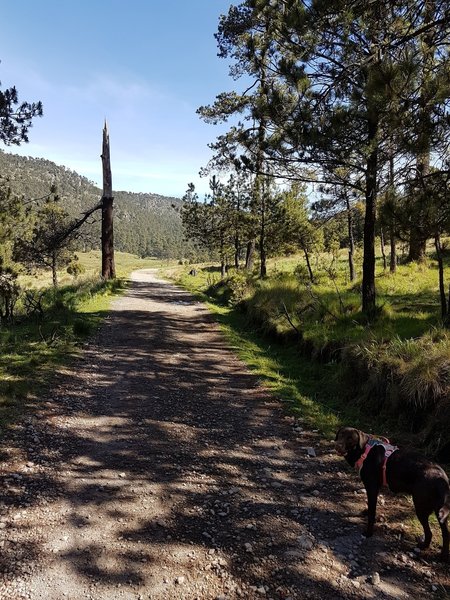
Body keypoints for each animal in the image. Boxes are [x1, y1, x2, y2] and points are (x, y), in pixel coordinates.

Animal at [336, 426, 448, 564]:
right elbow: (370, 506)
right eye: (340, 435)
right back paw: (441, 555)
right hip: (439, 510)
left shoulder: (372, 487)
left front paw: (368, 532)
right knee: (445, 532)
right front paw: (366, 512)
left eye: (350, 438)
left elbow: (372, 513)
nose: (337, 445)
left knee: (430, 531)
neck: (364, 450)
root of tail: (441, 477)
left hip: (421, 506)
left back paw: (428, 548)